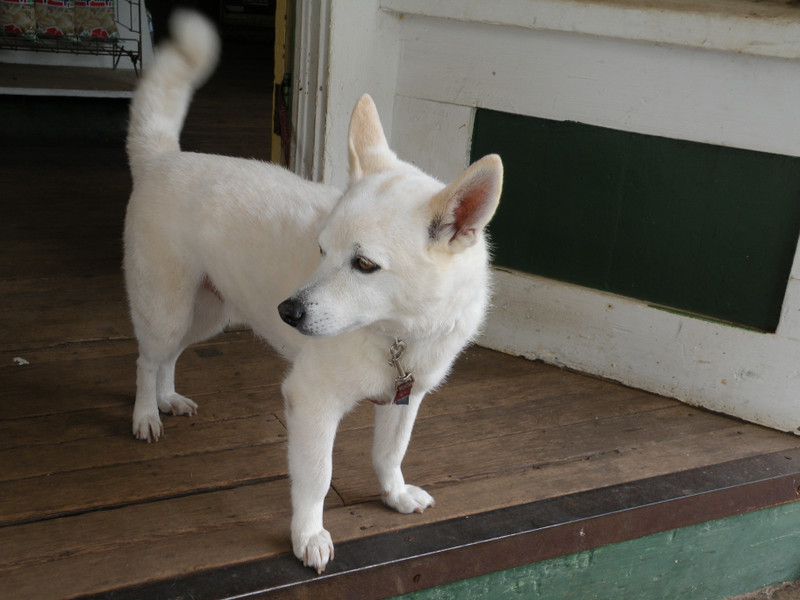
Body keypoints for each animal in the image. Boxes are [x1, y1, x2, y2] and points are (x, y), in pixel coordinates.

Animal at [123, 9, 500, 572]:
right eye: (321, 250)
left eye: (364, 265)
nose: (287, 312)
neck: (398, 332)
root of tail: (163, 159)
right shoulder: (311, 402)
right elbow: (317, 478)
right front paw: (309, 535)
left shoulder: (405, 399)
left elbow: (390, 453)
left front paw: (394, 494)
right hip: (166, 309)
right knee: (147, 359)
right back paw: (147, 413)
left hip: (207, 315)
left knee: (168, 358)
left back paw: (168, 399)